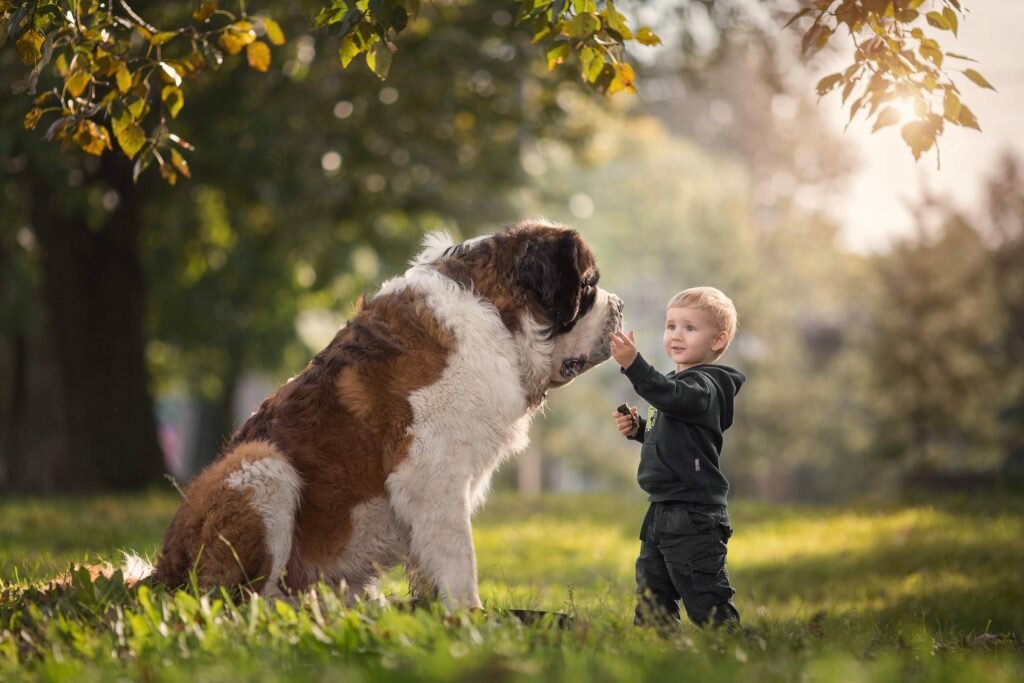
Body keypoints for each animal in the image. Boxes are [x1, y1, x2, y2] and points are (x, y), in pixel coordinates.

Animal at [149, 219, 622, 610]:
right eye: (589, 287)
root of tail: (161, 572)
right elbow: (459, 558)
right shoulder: (432, 476)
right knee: (241, 600)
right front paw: (472, 621)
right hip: (262, 467)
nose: (619, 305)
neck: (497, 314)